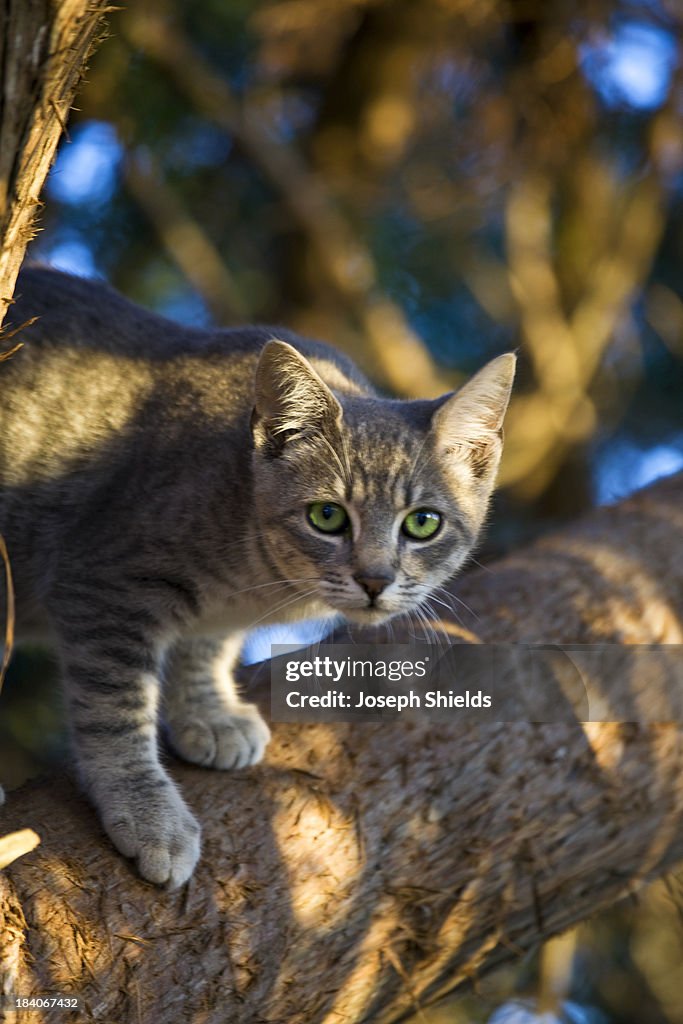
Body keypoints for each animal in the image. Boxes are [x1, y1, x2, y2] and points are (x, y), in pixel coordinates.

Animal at [0, 266, 516, 888]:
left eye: (422, 523)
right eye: (327, 517)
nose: (374, 580)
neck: (255, 579)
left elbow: (206, 648)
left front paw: (209, 712)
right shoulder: (100, 581)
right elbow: (114, 709)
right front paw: (148, 811)